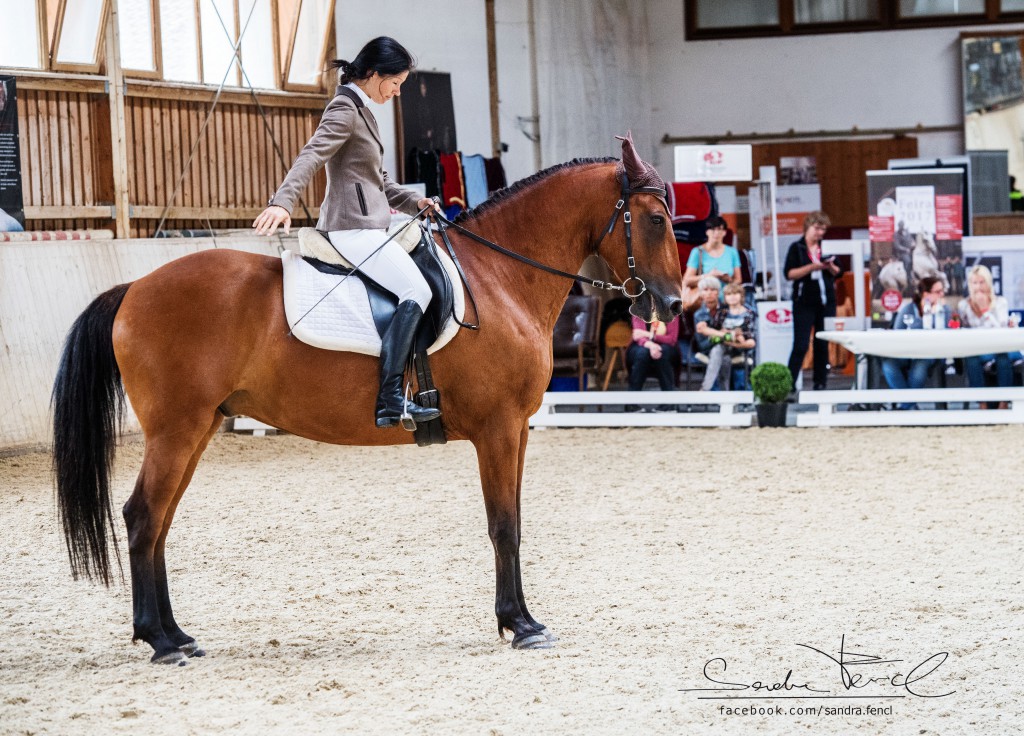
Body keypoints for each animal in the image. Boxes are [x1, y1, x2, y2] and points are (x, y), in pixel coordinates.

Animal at [51, 135, 684, 663]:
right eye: (656, 220)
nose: (673, 304)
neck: (499, 277)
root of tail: (133, 288)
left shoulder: (520, 430)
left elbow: (516, 522)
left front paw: (521, 619)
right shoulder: (499, 428)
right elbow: (503, 525)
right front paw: (521, 625)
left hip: (198, 429)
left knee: (160, 522)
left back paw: (177, 634)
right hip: (175, 431)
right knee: (143, 517)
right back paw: (159, 641)